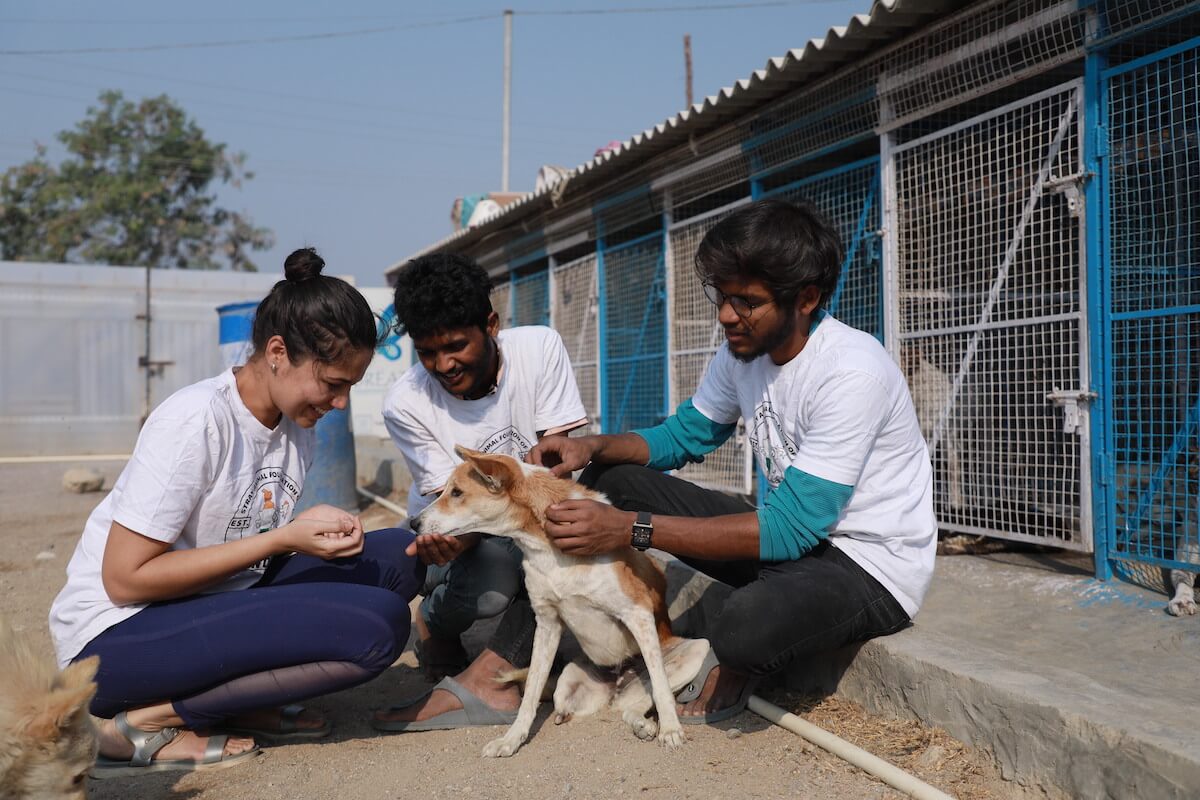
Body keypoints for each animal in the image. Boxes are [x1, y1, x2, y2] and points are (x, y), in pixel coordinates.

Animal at [412, 448, 710, 762]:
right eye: (444, 490)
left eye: (457, 492)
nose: (413, 524)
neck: (546, 548)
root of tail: (619, 682)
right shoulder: (546, 623)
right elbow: (530, 693)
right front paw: (512, 739)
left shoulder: (637, 612)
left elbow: (660, 684)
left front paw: (671, 730)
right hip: (570, 686)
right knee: (609, 708)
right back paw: (638, 723)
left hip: (695, 650)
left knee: (649, 691)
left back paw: (651, 725)